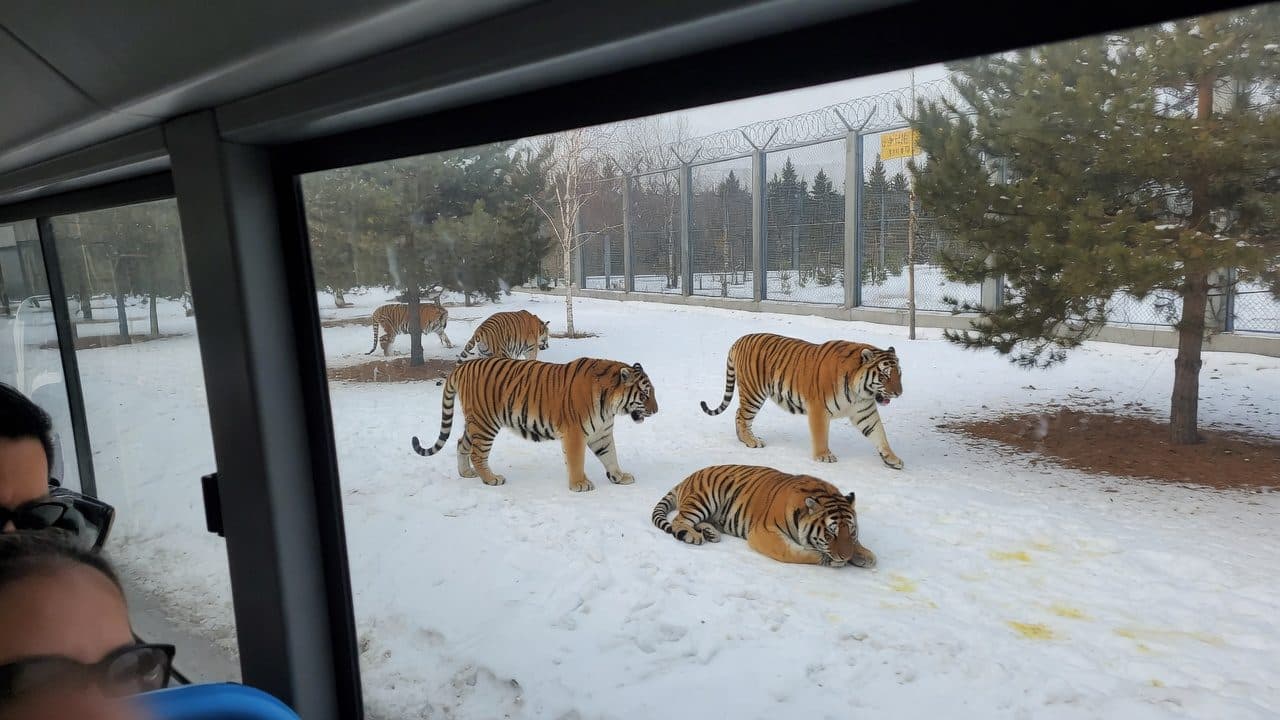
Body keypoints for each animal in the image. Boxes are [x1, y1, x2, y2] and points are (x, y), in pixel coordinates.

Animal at [411, 357, 658, 492]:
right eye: (645, 394)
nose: (656, 410)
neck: (609, 406)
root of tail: (462, 367)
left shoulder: (602, 434)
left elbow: (611, 456)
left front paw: (619, 476)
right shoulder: (575, 433)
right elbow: (576, 461)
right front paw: (579, 484)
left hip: (474, 422)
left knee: (461, 443)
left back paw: (466, 473)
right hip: (485, 423)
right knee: (477, 453)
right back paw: (491, 479)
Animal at [651, 465, 876, 568]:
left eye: (851, 532)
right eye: (830, 535)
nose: (845, 557)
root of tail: (688, 477)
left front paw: (865, 555)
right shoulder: (763, 533)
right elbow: (793, 552)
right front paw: (827, 558)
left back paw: (710, 533)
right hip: (703, 499)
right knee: (679, 520)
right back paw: (694, 536)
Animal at [700, 333, 904, 468]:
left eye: (899, 374)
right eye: (885, 376)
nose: (899, 393)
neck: (860, 392)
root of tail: (740, 340)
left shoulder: (864, 411)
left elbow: (879, 433)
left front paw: (892, 458)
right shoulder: (819, 409)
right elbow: (821, 435)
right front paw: (824, 456)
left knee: (738, 413)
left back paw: (745, 439)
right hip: (753, 393)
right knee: (742, 415)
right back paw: (751, 441)